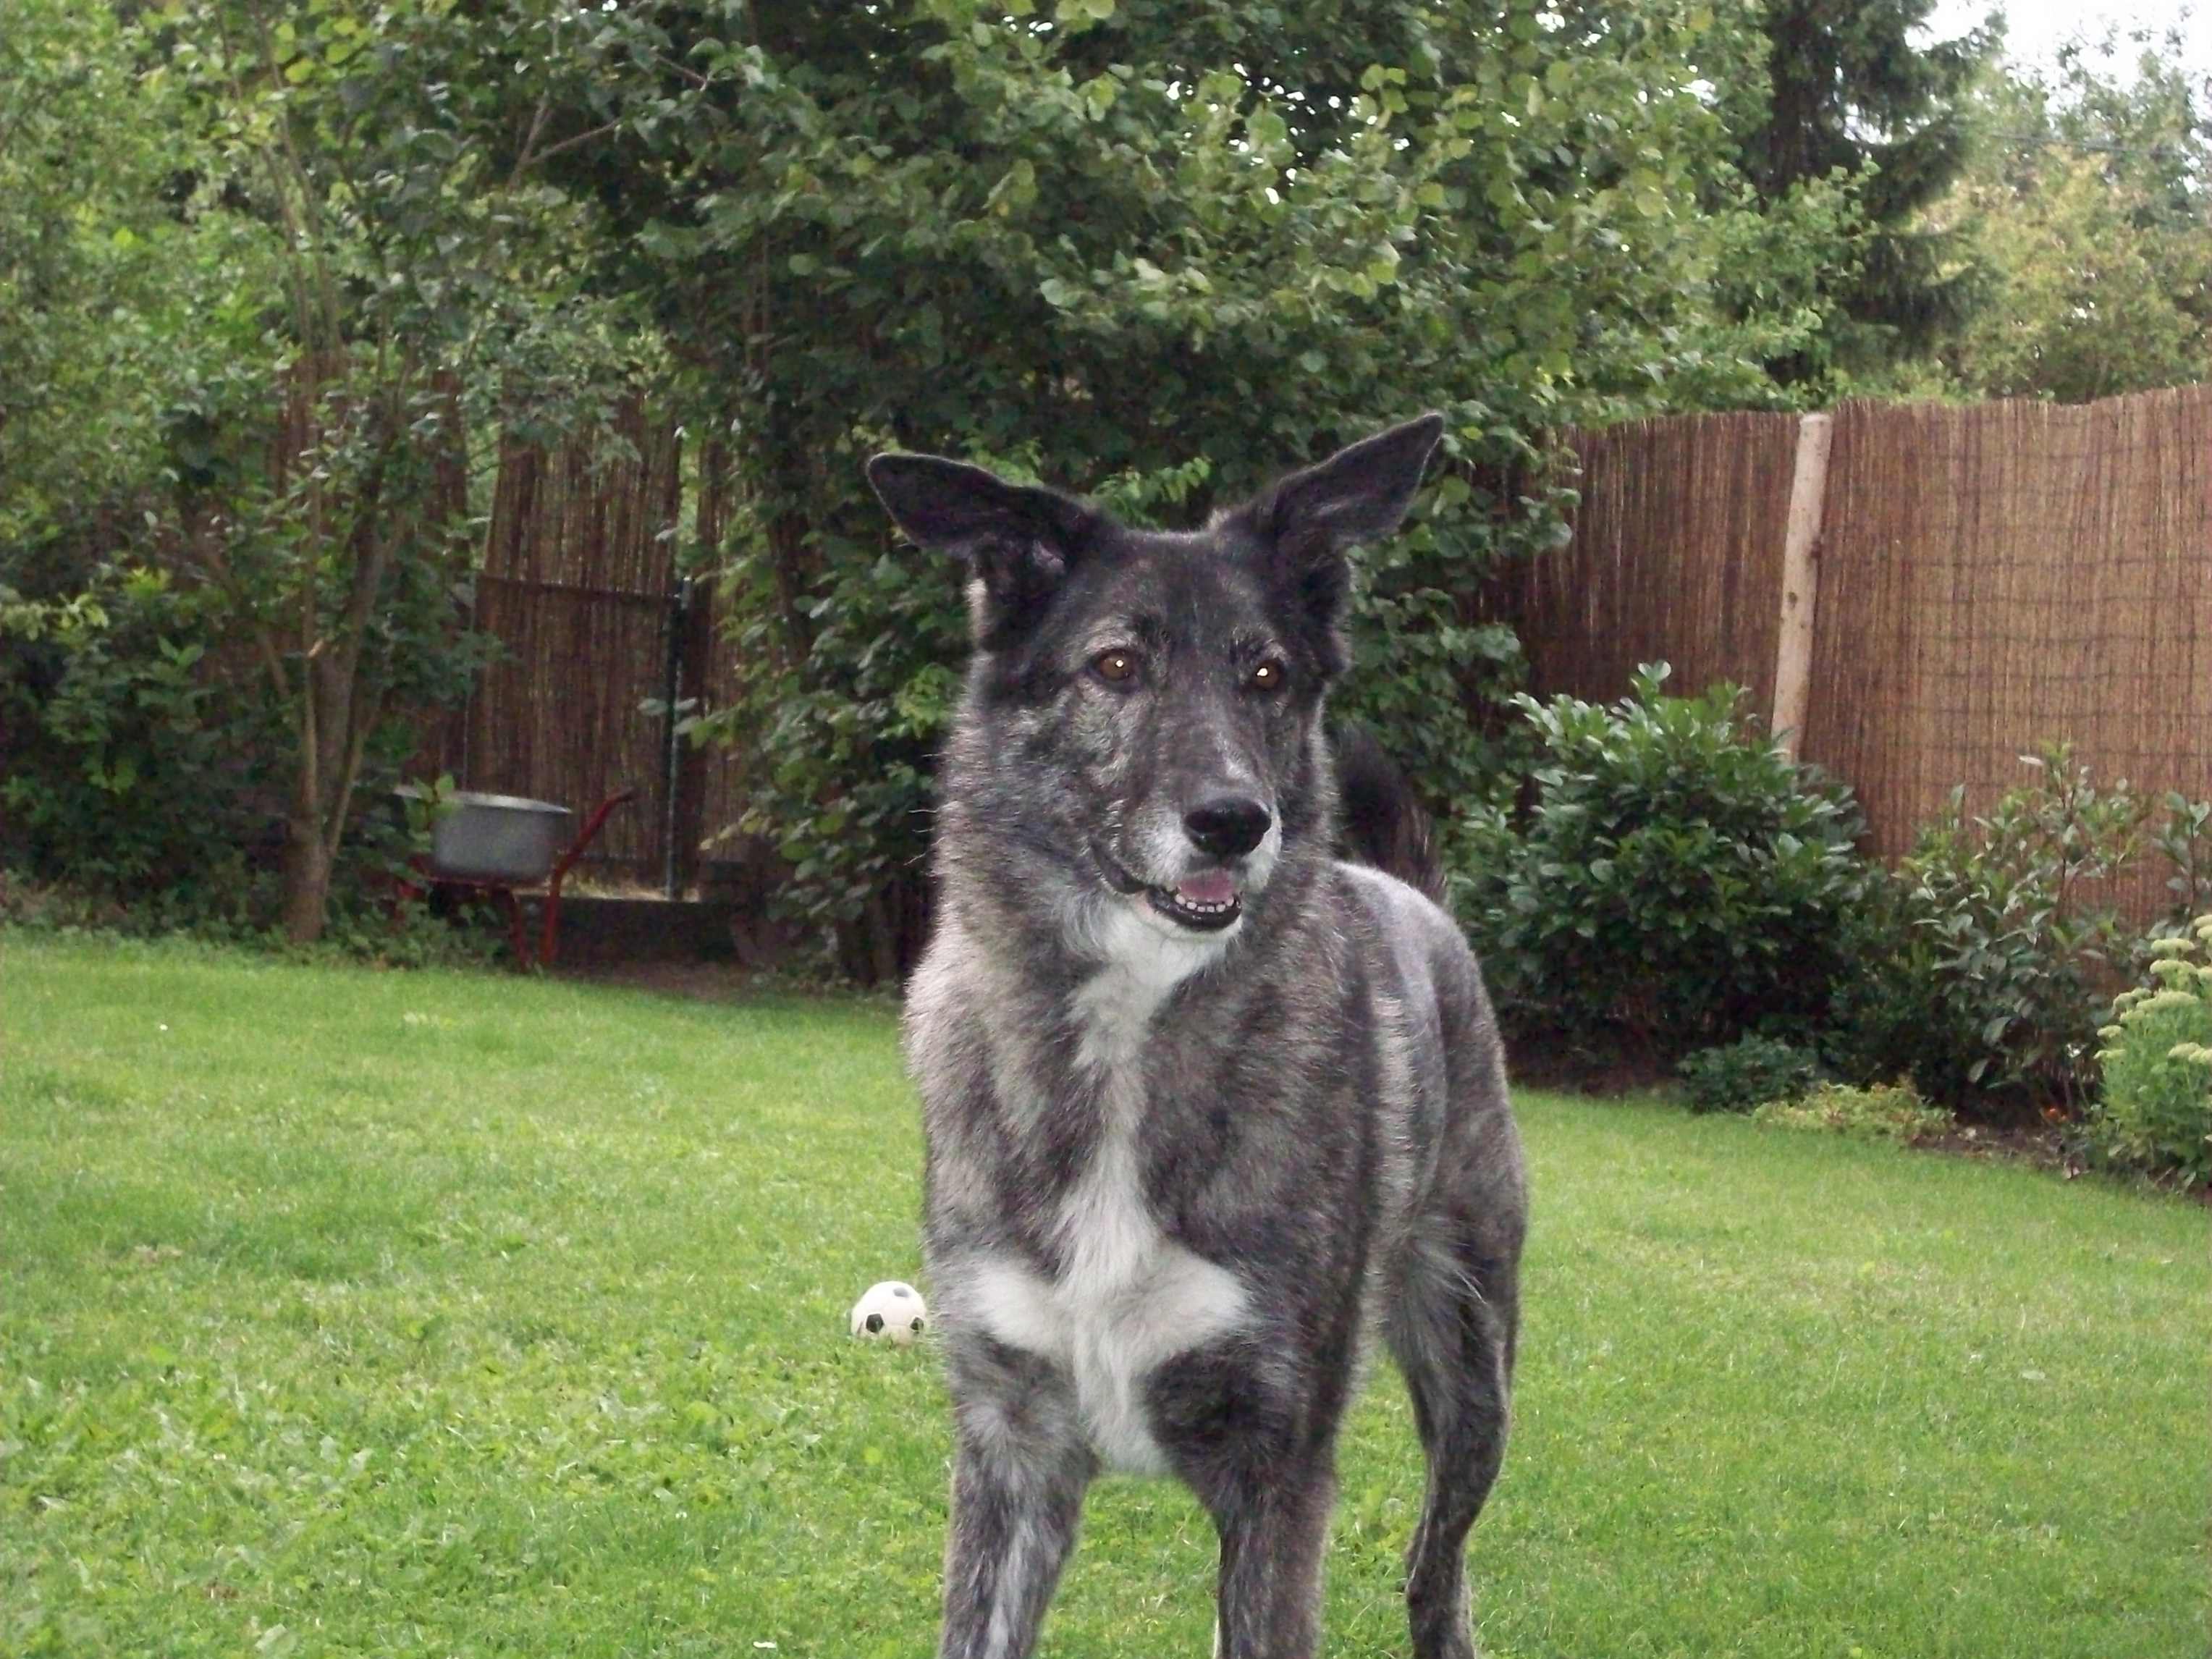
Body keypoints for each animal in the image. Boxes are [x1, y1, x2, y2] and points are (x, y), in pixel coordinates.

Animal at [871, 418, 1530, 1659]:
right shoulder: (1012, 1454)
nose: (1234, 821)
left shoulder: (1278, 1470)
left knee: (1438, 1564)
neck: (1129, 1028)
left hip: (1474, 1361)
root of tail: (1414, 899)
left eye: (1265, 674)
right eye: (1115, 668)